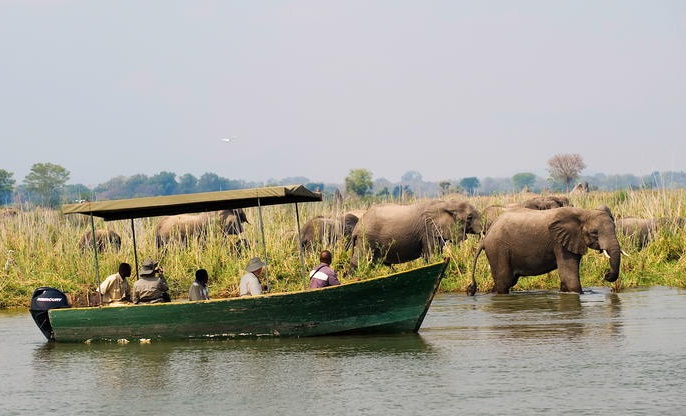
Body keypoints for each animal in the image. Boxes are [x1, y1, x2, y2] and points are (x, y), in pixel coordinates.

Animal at [354, 201, 484, 266]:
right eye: (469, 217)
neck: (447, 204)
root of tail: (357, 226)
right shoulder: (428, 230)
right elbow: (432, 255)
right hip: (366, 238)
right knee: (361, 260)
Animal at [468, 206, 624, 294]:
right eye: (594, 233)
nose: (606, 274)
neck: (583, 212)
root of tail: (486, 237)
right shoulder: (559, 242)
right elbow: (569, 275)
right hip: (498, 250)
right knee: (504, 282)